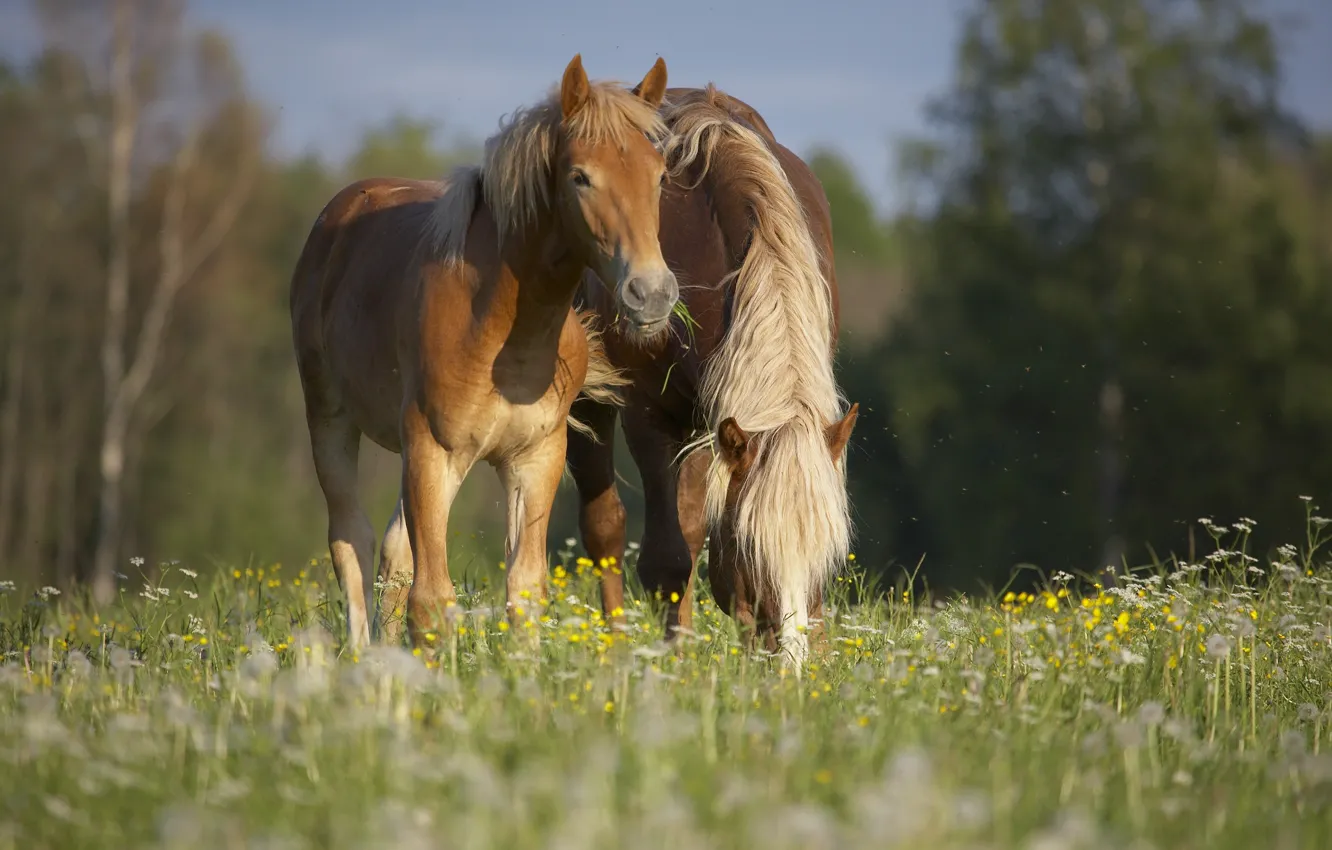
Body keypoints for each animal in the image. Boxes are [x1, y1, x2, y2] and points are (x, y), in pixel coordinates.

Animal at [290, 55, 679, 651]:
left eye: (660, 175)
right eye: (580, 176)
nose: (652, 293)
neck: (501, 331)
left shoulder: (535, 459)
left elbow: (524, 589)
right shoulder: (432, 450)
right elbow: (431, 600)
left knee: (392, 553)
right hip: (333, 420)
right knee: (350, 541)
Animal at [567, 85, 859, 666]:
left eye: (829, 553)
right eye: (752, 549)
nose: (790, 664)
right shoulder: (650, 416)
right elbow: (666, 560)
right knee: (605, 529)